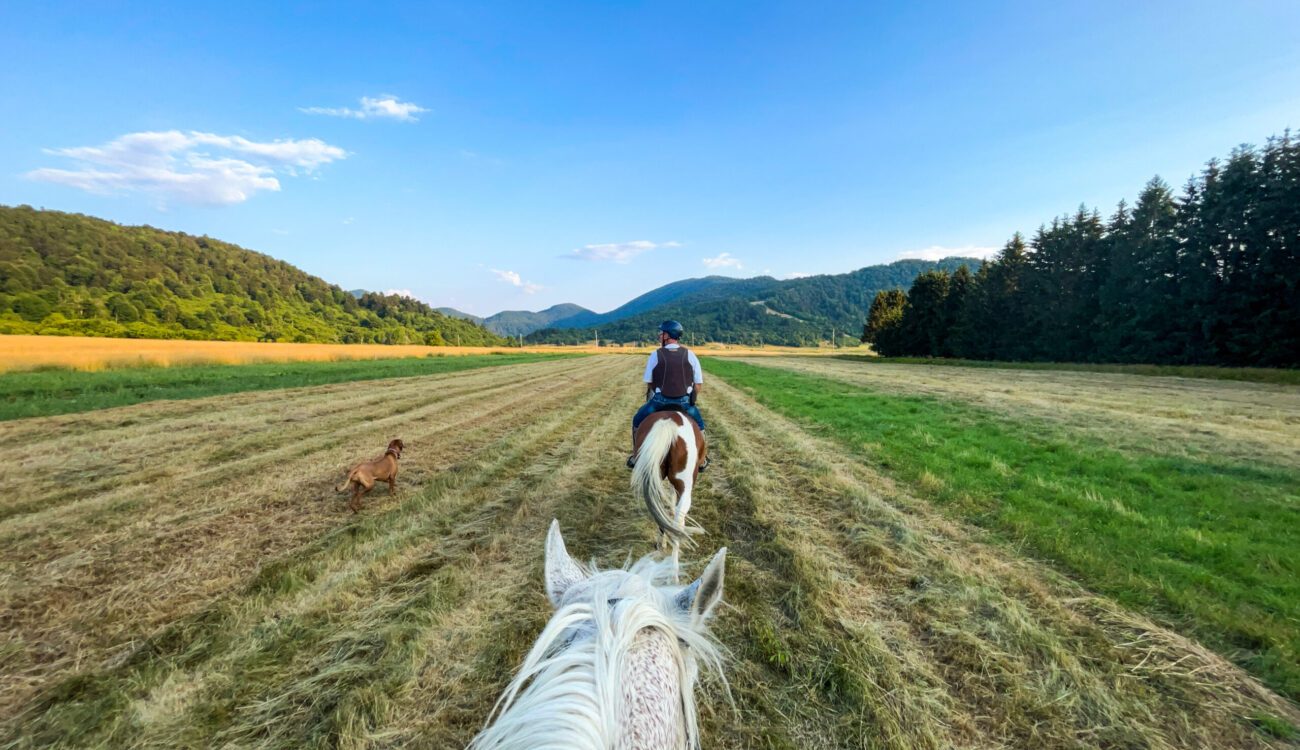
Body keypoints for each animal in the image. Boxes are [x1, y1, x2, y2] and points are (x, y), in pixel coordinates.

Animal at [631, 410, 707, 571]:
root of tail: (668, 424)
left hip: (654, 477)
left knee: (659, 511)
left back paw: (662, 544)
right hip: (685, 486)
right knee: (678, 520)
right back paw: (674, 571)